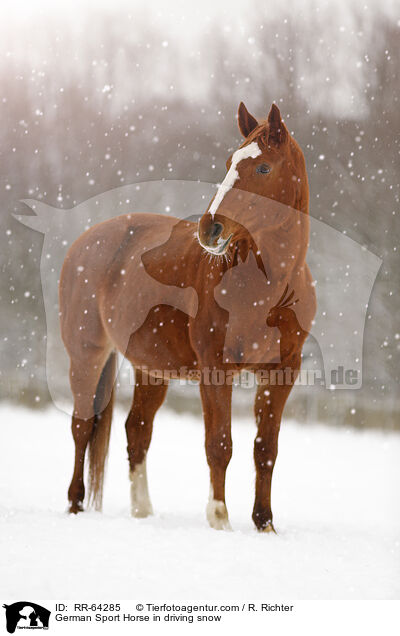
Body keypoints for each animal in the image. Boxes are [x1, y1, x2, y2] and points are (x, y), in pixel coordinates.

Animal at [59, 103, 316, 532]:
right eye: (229, 162)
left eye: (263, 168)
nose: (210, 228)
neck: (267, 286)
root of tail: (86, 241)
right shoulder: (215, 369)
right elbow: (220, 444)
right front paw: (219, 519)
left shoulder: (282, 372)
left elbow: (265, 448)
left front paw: (264, 523)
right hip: (87, 354)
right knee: (82, 426)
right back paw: (75, 505)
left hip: (151, 370)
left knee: (136, 430)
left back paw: (143, 511)